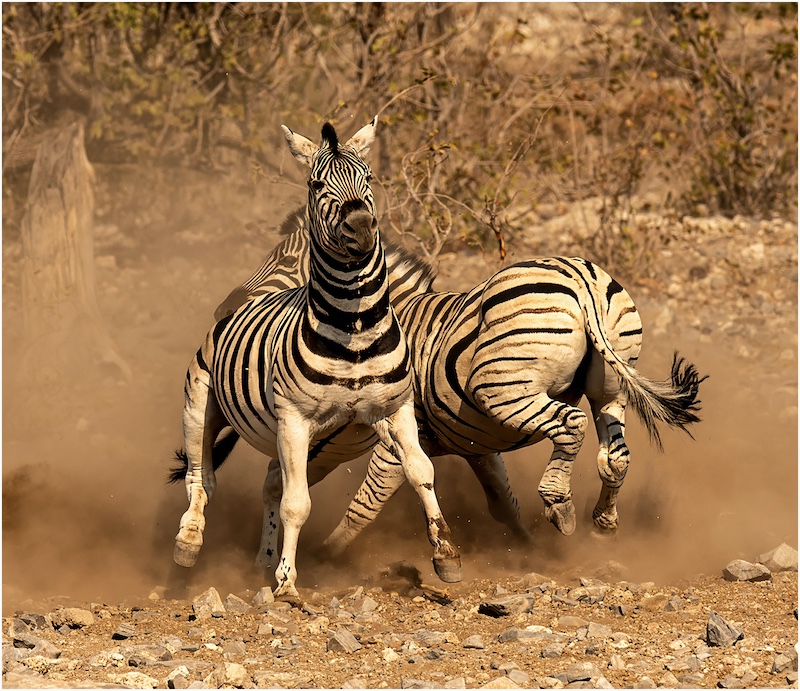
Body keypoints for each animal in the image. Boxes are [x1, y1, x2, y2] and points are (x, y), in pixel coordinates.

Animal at [171, 118, 462, 599]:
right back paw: (189, 543)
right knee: (202, 476)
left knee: (262, 483)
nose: (361, 228)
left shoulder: (394, 412)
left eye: (369, 179)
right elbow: (297, 503)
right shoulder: (296, 422)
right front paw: (288, 581)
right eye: (316, 184)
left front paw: (446, 555)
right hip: (201, 406)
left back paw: (261, 558)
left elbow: (421, 471)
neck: (356, 331)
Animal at [212, 211, 705, 566]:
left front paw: (325, 557)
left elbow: (366, 503)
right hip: (609, 386)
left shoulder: (399, 435)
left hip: (505, 390)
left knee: (570, 424)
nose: (223, 309)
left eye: (282, 264)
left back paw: (560, 503)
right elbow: (502, 502)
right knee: (614, 454)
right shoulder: (475, 443)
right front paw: (528, 550)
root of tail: (580, 280)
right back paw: (603, 520)